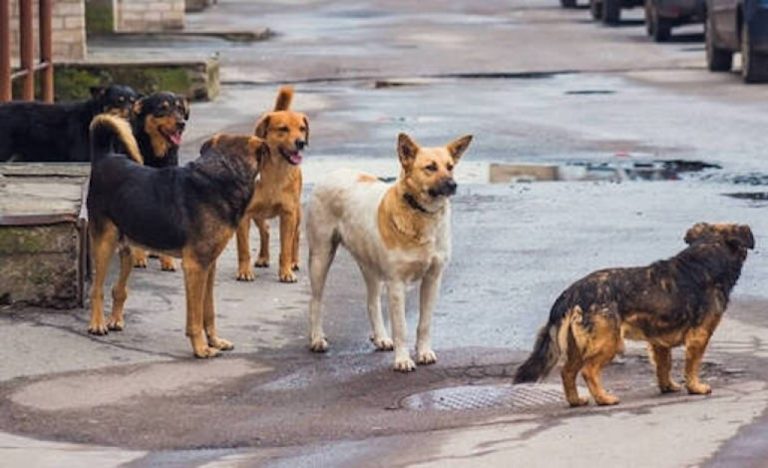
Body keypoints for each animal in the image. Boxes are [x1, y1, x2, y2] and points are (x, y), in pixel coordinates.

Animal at [86, 113, 268, 358]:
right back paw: (97, 324)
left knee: (118, 288)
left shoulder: (209, 265)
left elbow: (208, 311)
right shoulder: (195, 266)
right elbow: (195, 317)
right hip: (105, 243)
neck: (222, 173)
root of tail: (104, 157)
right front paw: (201, 348)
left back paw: (115, 320)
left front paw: (215, 341)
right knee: (97, 289)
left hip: (129, 248)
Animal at [236, 86, 308, 284]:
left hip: (296, 213)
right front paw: (244, 271)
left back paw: (294, 261)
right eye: (283, 129)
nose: (301, 143)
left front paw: (286, 271)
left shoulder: (288, 214)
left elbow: (286, 247)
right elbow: (243, 249)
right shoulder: (244, 215)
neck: (275, 172)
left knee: (296, 236)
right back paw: (263, 257)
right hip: (258, 214)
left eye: (302, 129)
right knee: (265, 231)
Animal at [306, 133, 474, 372]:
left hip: (370, 267)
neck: (420, 213)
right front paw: (403, 360)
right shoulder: (396, 284)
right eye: (430, 167)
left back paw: (380, 337)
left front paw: (423, 352)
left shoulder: (433, 279)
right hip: (321, 257)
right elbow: (401, 327)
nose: (453, 185)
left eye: (450, 167)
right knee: (316, 301)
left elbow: (424, 323)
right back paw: (317, 338)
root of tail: (333, 173)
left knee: (372, 302)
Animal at [512, 223, 752, 406]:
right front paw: (695, 387)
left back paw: (576, 401)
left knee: (567, 372)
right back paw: (604, 399)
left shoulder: (658, 342)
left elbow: (664, 366)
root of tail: (572, 292)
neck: (705, 257)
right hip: (608, 342)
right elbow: (691, 366)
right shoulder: (699, 337)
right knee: (588, 371)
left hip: (578, 346)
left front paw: (668, 387)